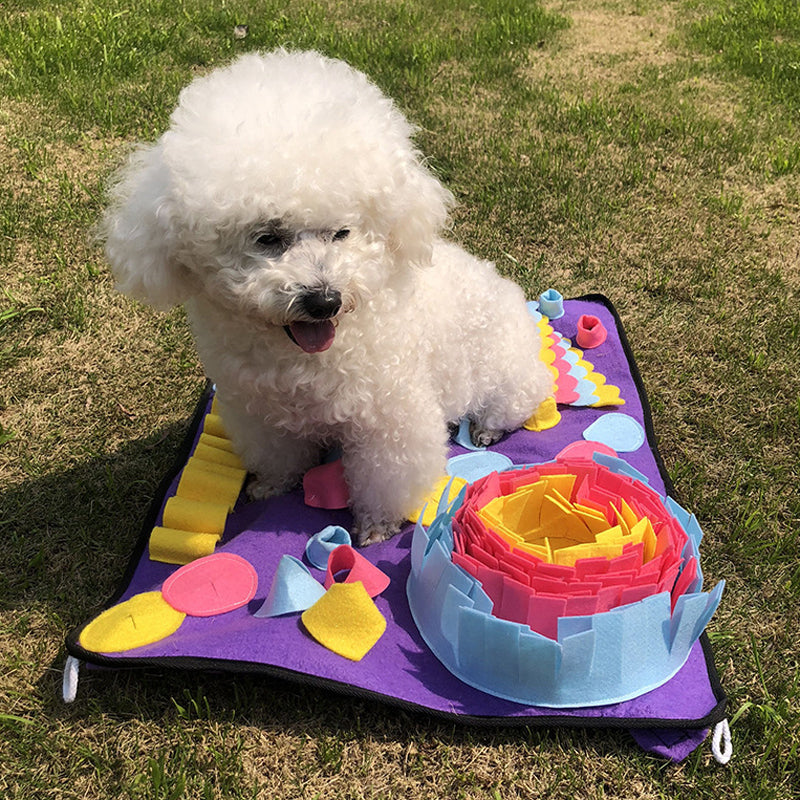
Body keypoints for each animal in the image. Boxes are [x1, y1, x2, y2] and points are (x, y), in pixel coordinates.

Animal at [100, 50, 552, 548]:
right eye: (267, 238)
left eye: (342, 233)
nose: (324, 301)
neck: (302, 359)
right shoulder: (258, 410)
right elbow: (277, 453)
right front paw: (272, 485)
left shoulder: (390, 416)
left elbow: (385, 475)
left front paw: (376, 526)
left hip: (506, 373)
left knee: (521, 398)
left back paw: (489, 428)